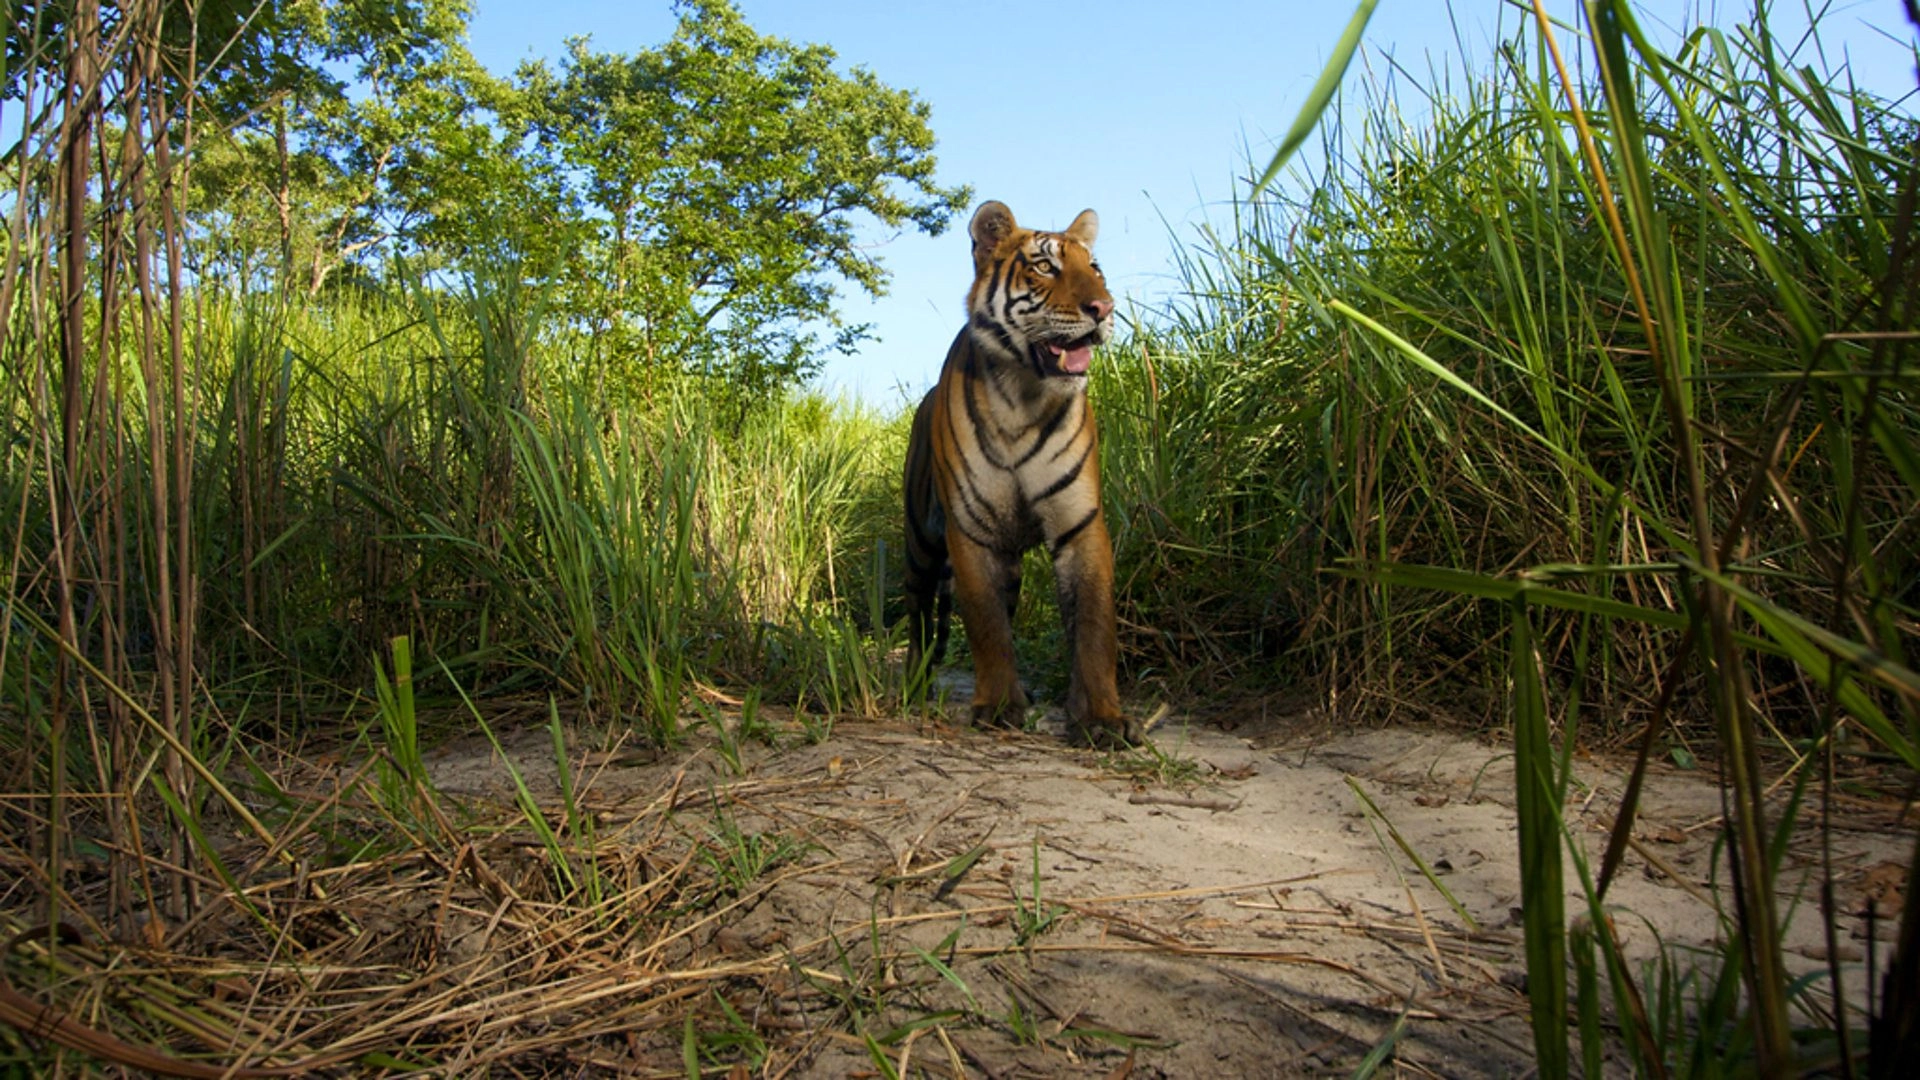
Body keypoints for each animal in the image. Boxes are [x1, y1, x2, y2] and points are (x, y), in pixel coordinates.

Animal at [902, 200, 1143, 749]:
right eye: (1045, 266)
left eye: (1094, 268)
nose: (1103, 308)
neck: (1024, 396)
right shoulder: (970, 530)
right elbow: (986, 626)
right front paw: (996, 706)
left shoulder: (1080, 525)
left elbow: (1093, 627)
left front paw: (1101, 717)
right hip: (921, 540)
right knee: (921, 610)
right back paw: (915, 683)